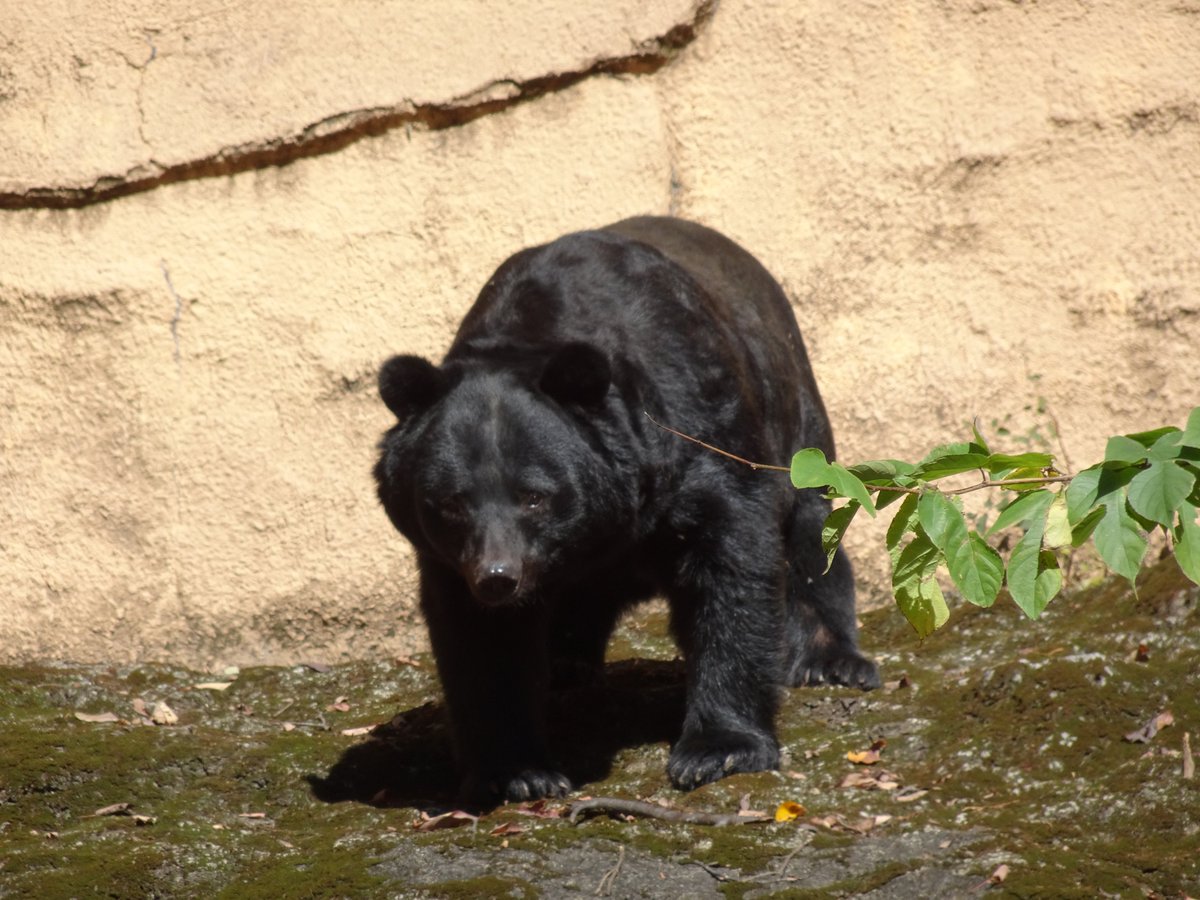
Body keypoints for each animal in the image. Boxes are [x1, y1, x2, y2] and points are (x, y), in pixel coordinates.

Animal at [374, 214, 883, 806]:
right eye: (452, 502)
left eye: (534, 496)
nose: (498, 576)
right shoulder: (451, 558)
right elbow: (481, 643)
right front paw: (517, 771)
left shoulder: (698, 430)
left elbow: (730, 566)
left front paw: (718, 749)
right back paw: (566, 662)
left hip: (792, 405)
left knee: (810, 527)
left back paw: (831, 661)